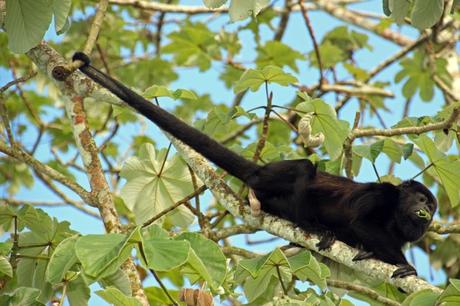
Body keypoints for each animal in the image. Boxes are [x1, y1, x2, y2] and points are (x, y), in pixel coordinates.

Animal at [70, 52, 436, 278]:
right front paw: (405, 265)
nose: (427, 213)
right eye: (421, 199)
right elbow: (361, 221)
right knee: (305, 168)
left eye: (431, 206)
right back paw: (313, 227)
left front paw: (372, 254)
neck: (396, 212)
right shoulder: (383, 194)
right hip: (270, 176)